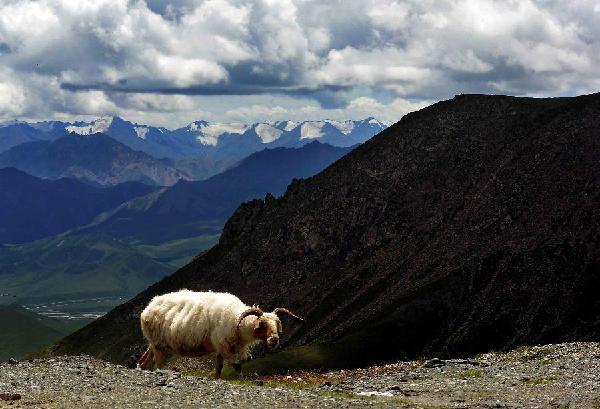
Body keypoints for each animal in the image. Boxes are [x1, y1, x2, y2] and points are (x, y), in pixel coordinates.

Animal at [137, 286, 304, 376]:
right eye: (262, 324)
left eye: (277, 323)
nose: (274, 339)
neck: (237, 319)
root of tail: (148, 308)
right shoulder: (224, 346)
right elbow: (237, 367)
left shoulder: (221, 349)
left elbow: (219, 370)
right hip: (159, 347)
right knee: (156, 365)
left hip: (155, 343)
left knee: (144, 361)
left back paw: (141, 366)